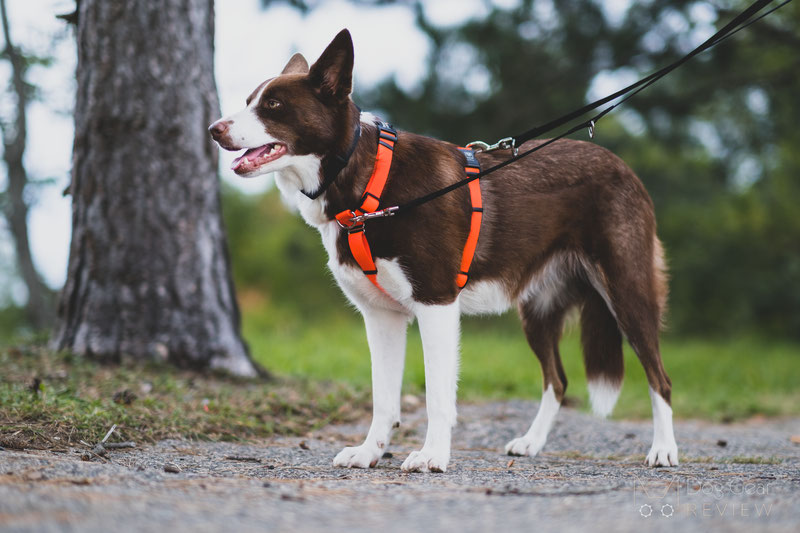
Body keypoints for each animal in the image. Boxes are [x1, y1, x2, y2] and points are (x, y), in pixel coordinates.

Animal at [209, 29, 680, 472]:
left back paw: (663, 450)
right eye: (249, 101)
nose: (214, 129)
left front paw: (432, 456)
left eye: (273, 105)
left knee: (659, 377)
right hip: (538, 310)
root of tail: (622, 166)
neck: (369, 181)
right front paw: (370, 453)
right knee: (558, 380)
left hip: (627, 290)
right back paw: (532, 443)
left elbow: (438, 395)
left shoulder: (436, 304)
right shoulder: (381, 317)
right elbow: (384, 399)